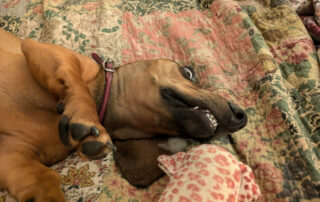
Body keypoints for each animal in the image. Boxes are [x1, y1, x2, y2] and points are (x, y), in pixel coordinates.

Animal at [0, 28, 248, 202]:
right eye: (188, 72)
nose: (241, 116)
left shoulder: (13, 157)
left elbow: (44, 180)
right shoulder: (39, 49)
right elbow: (78, 86)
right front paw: (85, 118)